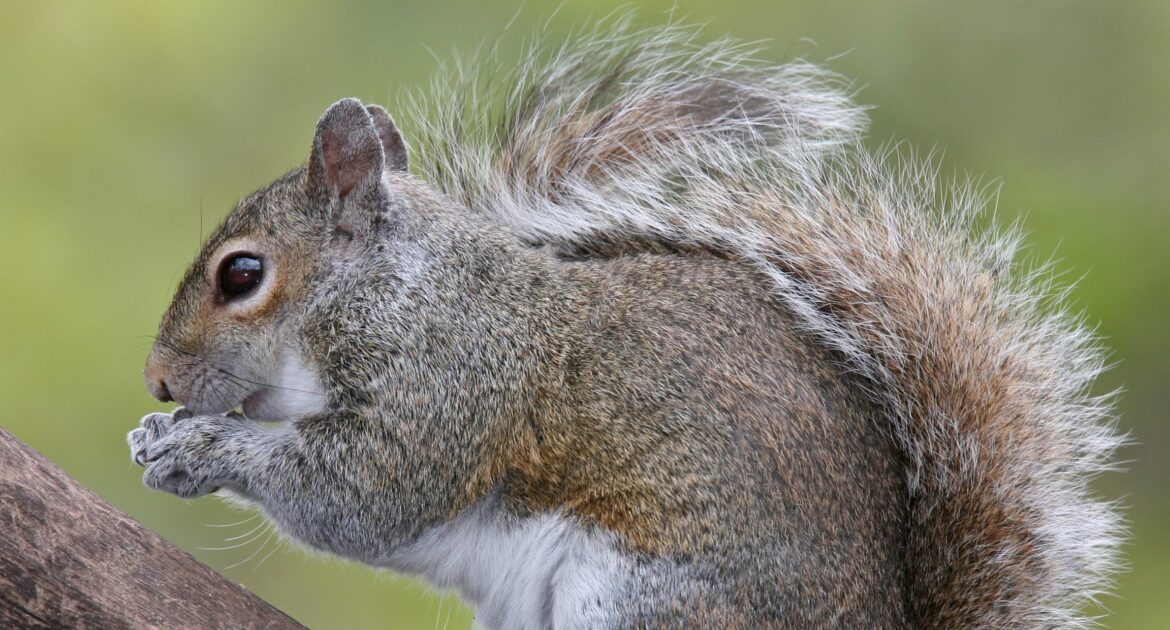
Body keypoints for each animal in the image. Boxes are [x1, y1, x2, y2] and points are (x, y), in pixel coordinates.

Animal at [128, 23, 1123, 629]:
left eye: (242, 275)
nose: (158, 381)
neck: (393, 290)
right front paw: (154, 434)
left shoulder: (450, 382)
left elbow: (359, 491)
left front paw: (201, 448)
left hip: (643, 603)